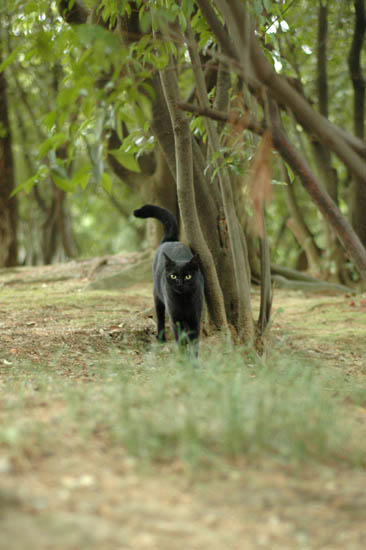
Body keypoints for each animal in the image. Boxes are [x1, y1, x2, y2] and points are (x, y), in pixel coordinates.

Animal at [133, 205, 204, 356]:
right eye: (173, 276)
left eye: (188, 276)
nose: (180, 283)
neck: (184, 301)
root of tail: (170, 240)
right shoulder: (175, 319)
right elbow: (181, 341)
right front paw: (183, 358)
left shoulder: (195, 319)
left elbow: (194, 342)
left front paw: (193, 359)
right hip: (157, 297)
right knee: (160, 318)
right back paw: (161, 339)